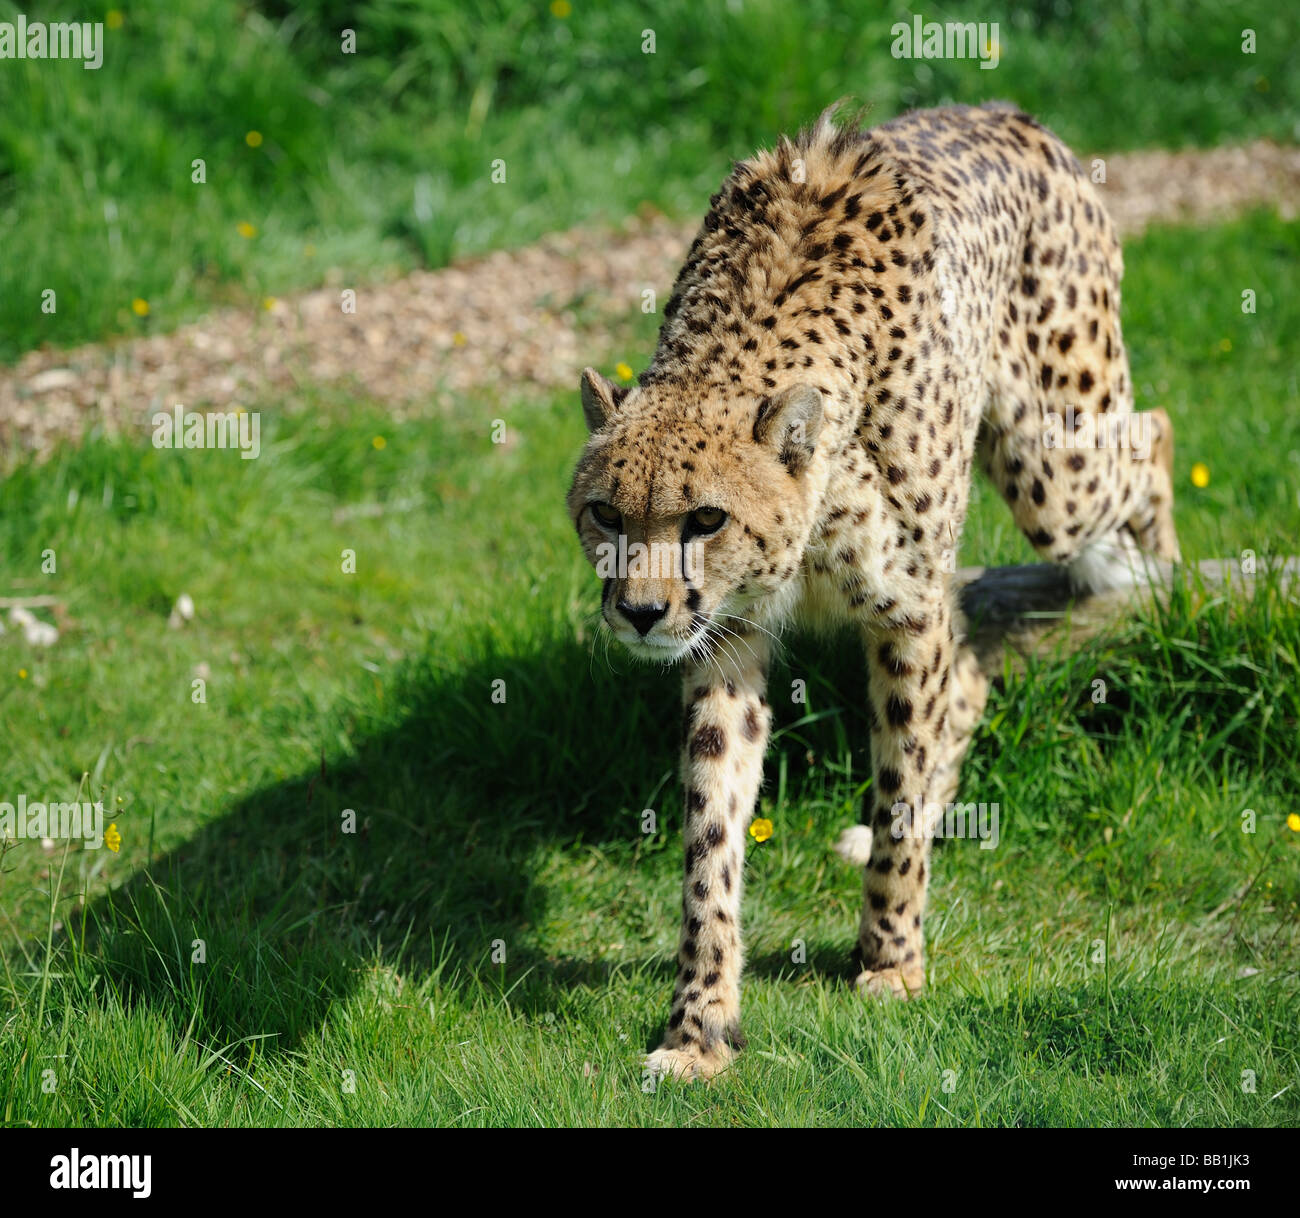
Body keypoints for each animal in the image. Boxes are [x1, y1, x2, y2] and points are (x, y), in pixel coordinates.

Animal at [569, 100, 1180, 1076]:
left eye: (705, 519)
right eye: (604, 514)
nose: (639, 614)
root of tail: (1006, 112)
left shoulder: (906, 610)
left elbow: (899, 783)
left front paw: (892, 959)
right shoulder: (727, 641)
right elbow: (712, 832)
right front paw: (701, 1025)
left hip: (1056, 463)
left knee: (1149, 438)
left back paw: (1155, 581)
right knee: (968, 671)